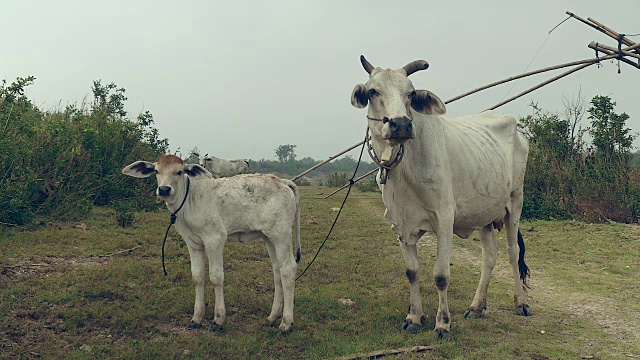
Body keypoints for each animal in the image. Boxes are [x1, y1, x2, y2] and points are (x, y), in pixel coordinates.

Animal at [123, 154, 302, 332]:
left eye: (179, 172)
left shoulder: (214, 239)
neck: (190, 199)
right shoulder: (193, 244)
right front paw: (196, 318)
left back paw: (286, 322)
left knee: (287, 270)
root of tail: (282, 181)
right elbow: (197, 276)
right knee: (277, 271)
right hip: (269, 238)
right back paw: (272, 316)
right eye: (156, 171)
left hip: (281, 235)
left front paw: (218, 319)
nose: (164, 189)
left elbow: (216, 277)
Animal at [350, 55, 528, 338]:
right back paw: (477, 306)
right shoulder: (401, 225)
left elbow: (441, 275)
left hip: (515, 203)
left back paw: (520, 303)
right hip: (484, 214)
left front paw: (443, 323)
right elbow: (412, 272)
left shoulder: (444, 219)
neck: (404, 167)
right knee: (490, 255)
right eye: (373, 91)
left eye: (411, 93)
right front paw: (414, 317)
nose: (401, 123)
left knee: (512, 252)